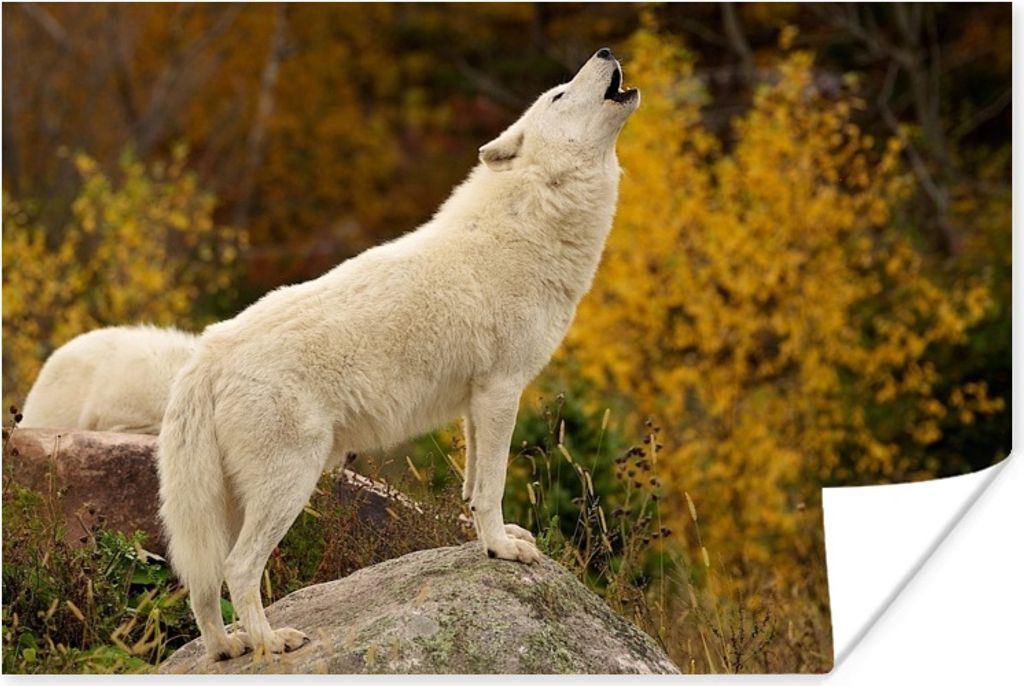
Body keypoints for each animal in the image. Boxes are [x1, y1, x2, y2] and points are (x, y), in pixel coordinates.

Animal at [157, 47, 639, 661]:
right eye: (558, 94)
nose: (605, 52)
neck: (528, 223)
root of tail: (206, 353)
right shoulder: (501, 390)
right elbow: (493, 488)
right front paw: (502, 549)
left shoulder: (477, 403)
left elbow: (471, 489)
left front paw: (491, 540)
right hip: (289, 484)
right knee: (239, 569)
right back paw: (272, 642)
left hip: (223, 504)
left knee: (200, 581)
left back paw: (228, 648)